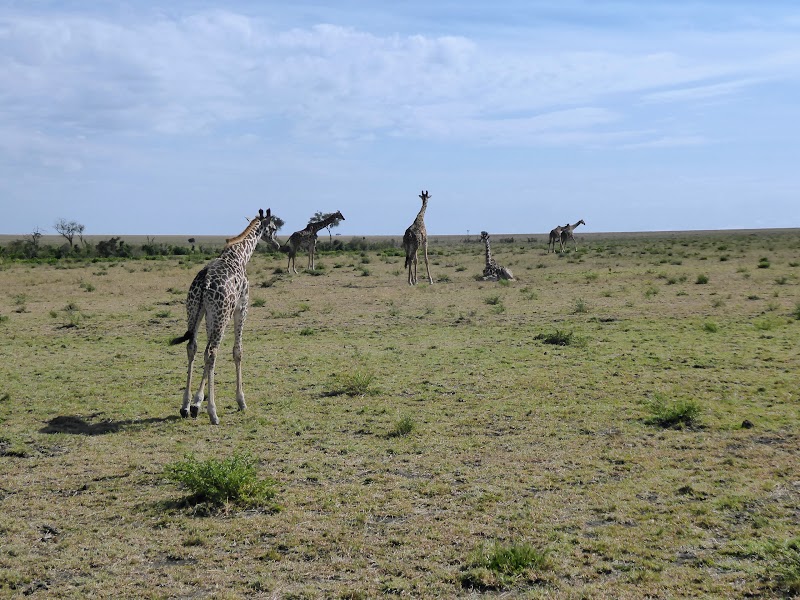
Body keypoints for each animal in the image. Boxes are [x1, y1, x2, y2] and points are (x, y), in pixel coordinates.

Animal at [170, 209, 280, 424]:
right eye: (273, 228)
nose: (277, 244)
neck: (239, 255)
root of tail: (204, 283)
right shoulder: (242, 307)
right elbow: (237, 351)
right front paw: (241, 401)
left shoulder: (209, 314)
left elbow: (205, 354)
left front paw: (196, 403)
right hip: (221, 314)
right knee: (212, 351)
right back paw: (213, 413)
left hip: (194, 310)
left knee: (194, 347)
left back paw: (185, 406)